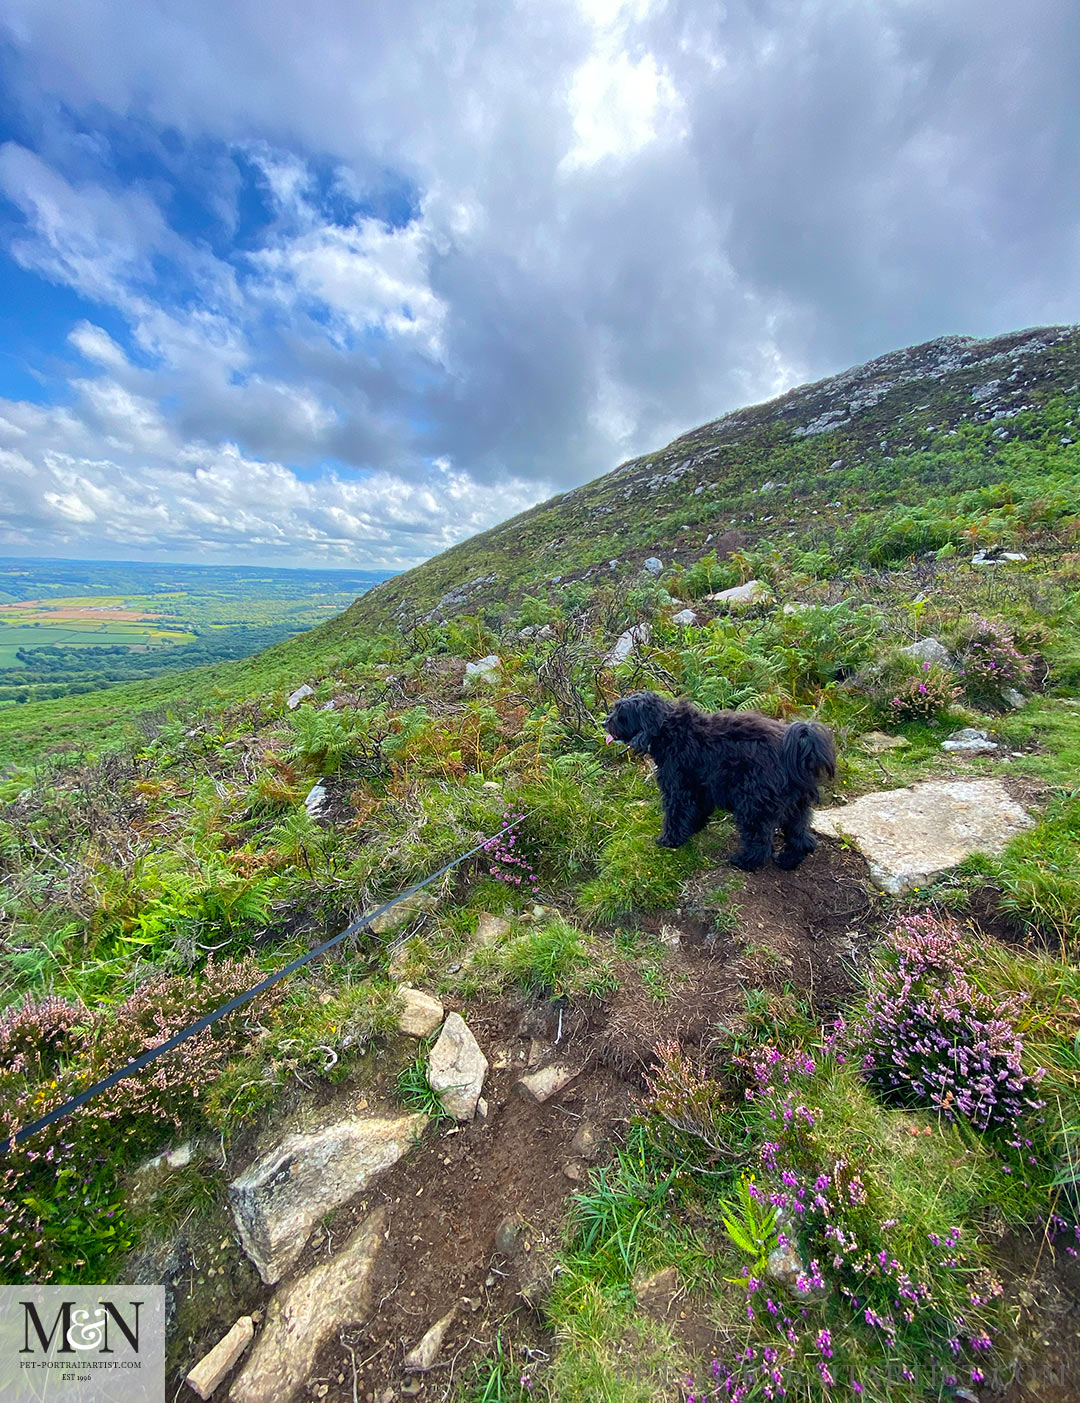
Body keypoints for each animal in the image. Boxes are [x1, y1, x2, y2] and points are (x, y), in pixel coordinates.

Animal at [605, 695, 830, 869]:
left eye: (621, 713)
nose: (604, 722)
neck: (666, 729)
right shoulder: (700, 787)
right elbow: (697, 810)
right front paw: (693, 828)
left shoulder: (678, 787)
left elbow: (675, 813)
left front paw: (669, 840)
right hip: (796, 806)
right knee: (802, 837)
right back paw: (787, 860)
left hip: (753, 803)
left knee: (760, 840)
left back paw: (745, 861)